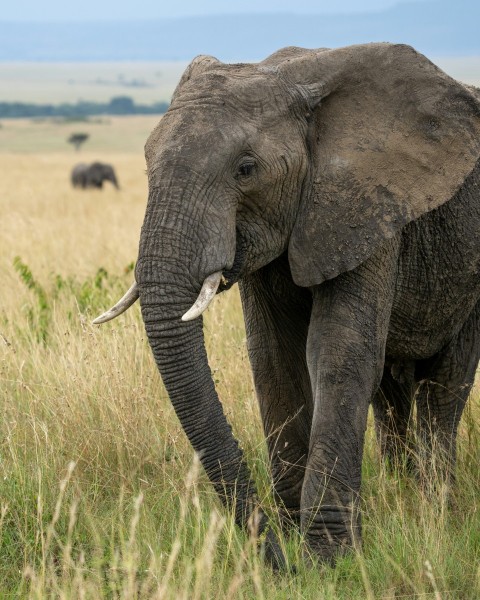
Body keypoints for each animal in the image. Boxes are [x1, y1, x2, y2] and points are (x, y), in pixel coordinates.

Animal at [93, 43, 480, 568]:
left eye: (246, 169)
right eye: (147, 161)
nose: (275, 558)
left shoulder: (365, 205)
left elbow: (337, 353)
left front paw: (330, 558)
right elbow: (274, 356)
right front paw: (299, 539)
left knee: (445, 384)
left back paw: (433, 509)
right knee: (390, 392)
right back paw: (402, 497)